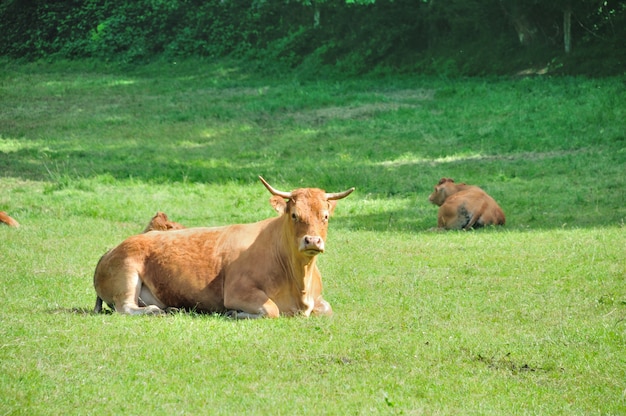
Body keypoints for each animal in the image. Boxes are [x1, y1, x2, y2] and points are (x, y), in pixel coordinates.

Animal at [92, 176, 352, 318]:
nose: (312, 241)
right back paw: (157, 311)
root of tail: (110, 251)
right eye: (295, 215)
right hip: (127, 274)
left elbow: (327, 309)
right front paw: (234, 313)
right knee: (125, 307)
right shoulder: (238, 291)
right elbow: (271, 310)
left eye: (325, 216)